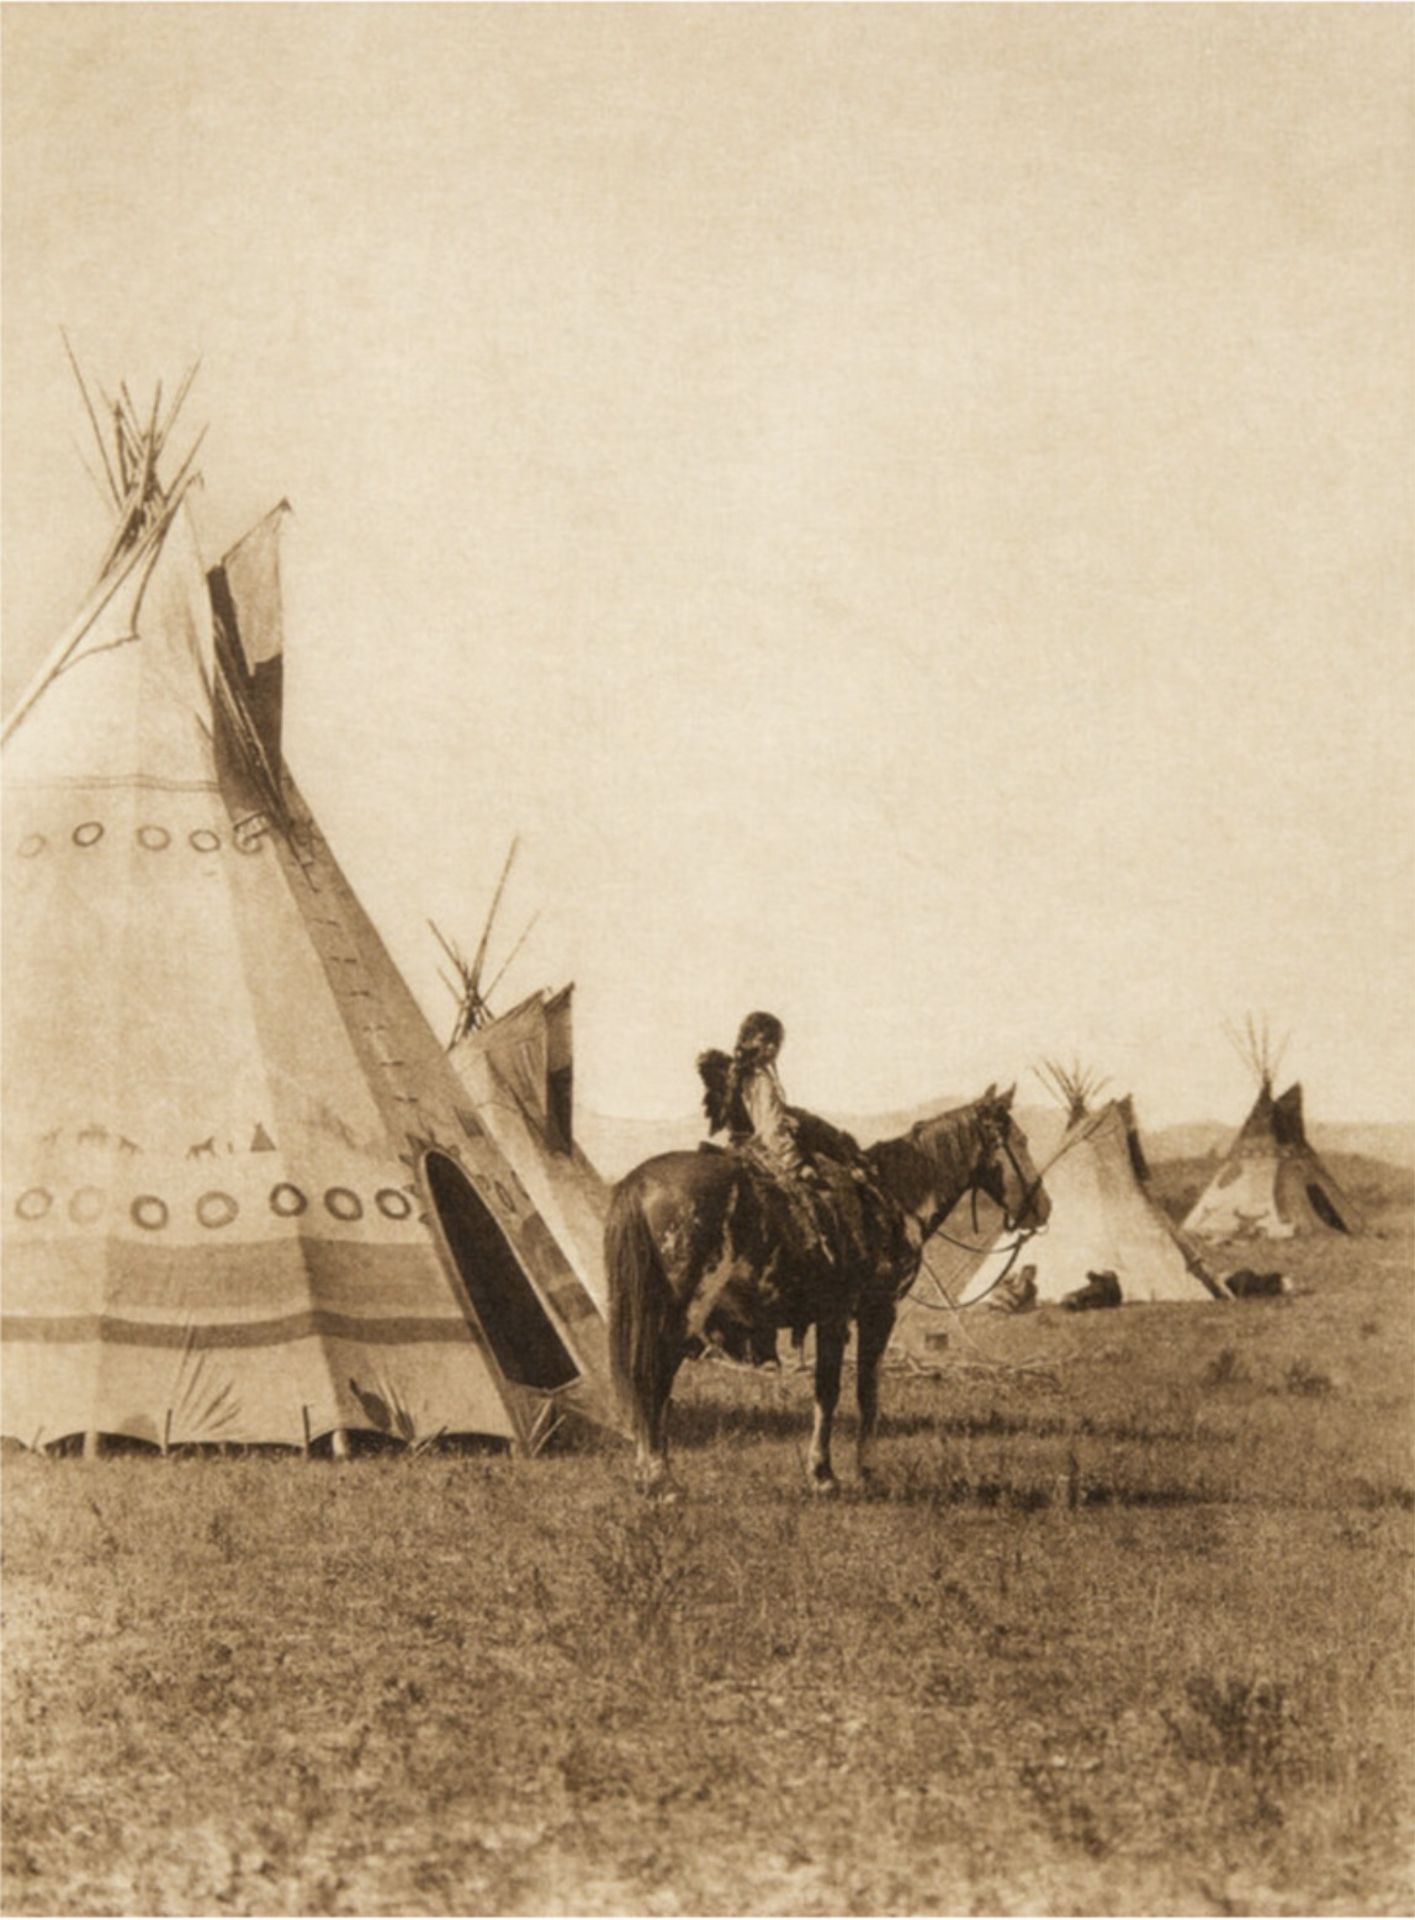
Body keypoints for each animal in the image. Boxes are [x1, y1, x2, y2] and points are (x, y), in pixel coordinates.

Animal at [602, 1090, 1044, 1489]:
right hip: (681, 1314)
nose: (1044, 1208)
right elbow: (856, 1391)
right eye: (1021, 1141)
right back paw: (662, 1479)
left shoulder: (830, 1317)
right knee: (654, 1377)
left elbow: (829, 1391)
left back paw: (648, 1472)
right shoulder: (873, 1311)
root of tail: (640, 1182)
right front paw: (843, 1472)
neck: (893, 1196)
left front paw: (830, 1470)